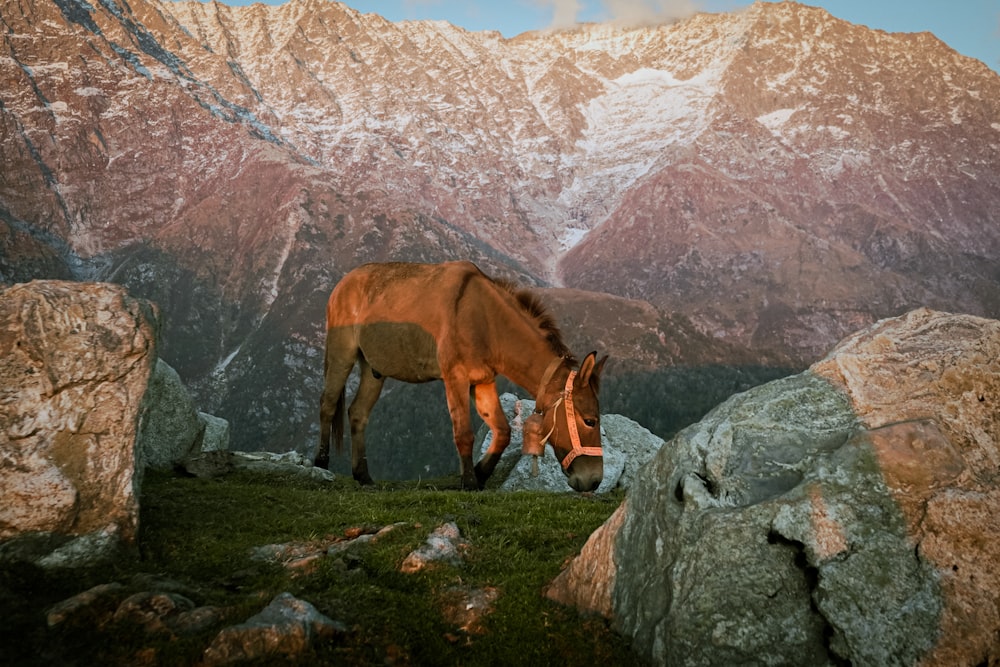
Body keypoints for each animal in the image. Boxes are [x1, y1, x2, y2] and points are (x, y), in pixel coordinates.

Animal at [316, 260, 604, 490]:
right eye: (590, 421)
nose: (594, 480)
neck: (487, 321)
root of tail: (343, 282)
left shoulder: (483, 381)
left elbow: (502, 431)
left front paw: (480, 473)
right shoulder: (455, 378)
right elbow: (463, 433)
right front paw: (469, 481)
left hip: (373, 369)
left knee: (357, 413)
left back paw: (363, 476)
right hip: (342, 355)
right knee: (328, 405)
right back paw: (320, 464)